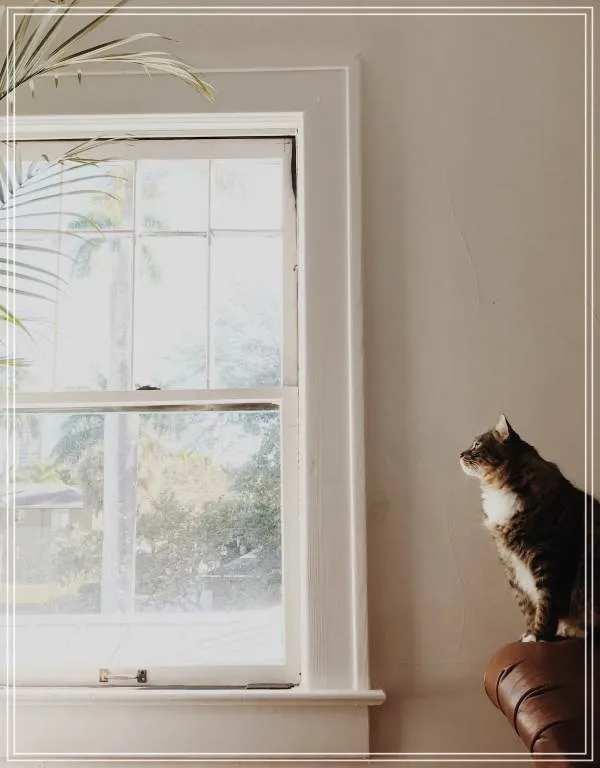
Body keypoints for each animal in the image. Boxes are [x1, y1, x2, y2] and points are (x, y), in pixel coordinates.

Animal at [460, 414, 598, 642]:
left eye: (477, 445)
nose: (460, 454)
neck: (501, 489)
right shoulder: (510, 563)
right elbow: (526, 604)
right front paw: (529, 632)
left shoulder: (549, 558)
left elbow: (547, 603)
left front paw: (539, 635)